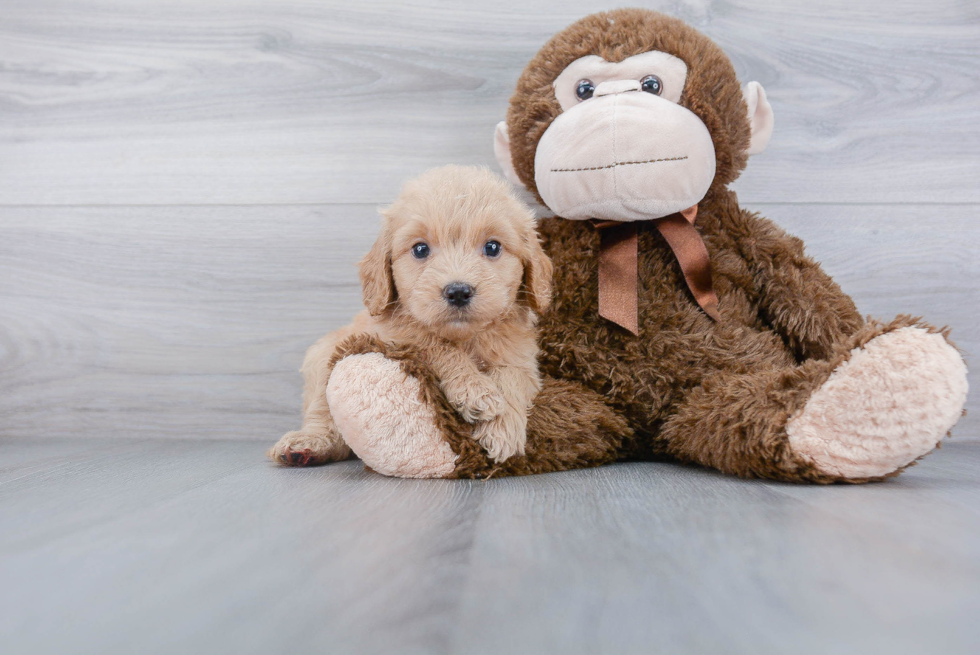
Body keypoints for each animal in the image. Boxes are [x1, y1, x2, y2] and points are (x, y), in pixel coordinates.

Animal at [268, 167, 556, 468]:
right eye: (420, 249)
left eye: (492, 247)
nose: (458, 292)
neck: (465, 338)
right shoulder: (394, 336)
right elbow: (436, 346)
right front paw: (474, 389)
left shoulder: (521, 359)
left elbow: (511, 377)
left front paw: (502, 429)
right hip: (324, 356)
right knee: (323, 415)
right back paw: (307, 444)